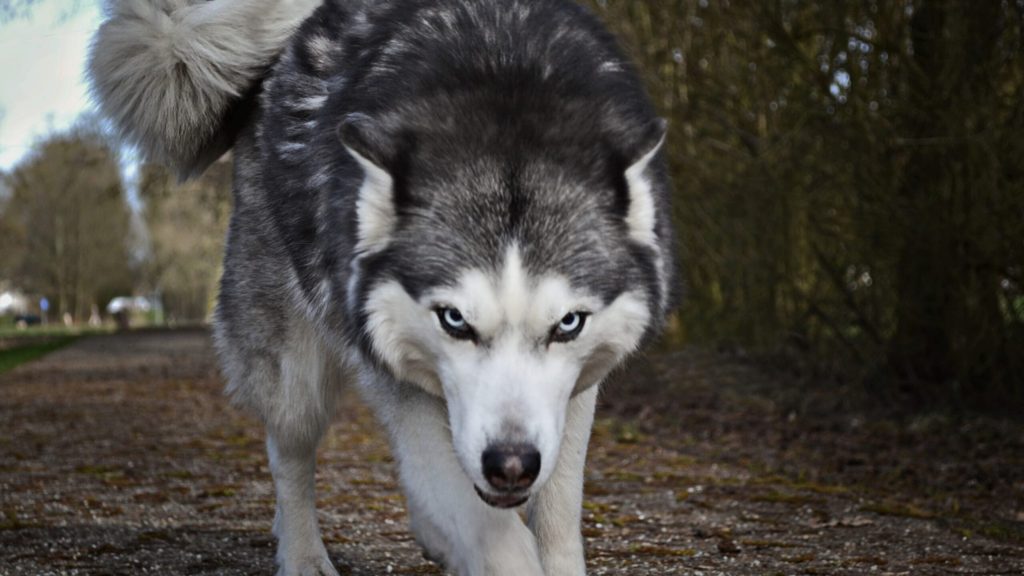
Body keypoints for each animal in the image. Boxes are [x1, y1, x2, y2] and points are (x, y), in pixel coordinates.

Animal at [89, 0, 676, 574]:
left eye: (568, 323)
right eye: (454, 319)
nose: (511, 466)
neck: (507, 81)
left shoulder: (572, 396)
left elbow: (554, 512)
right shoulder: (394, 373)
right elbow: (490, 533)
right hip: (295, 374)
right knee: (289, 455)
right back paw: (304, 556)